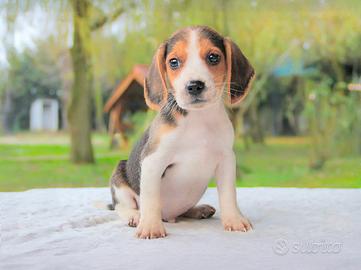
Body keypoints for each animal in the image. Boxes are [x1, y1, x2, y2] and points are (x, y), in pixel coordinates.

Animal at [108, 25, 255, 238]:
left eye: (213, 57)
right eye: (174, 62)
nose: (194, 86)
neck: (198, 119)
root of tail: (169, 216)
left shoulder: (226, 159)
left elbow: (229, 194)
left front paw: (234, 219)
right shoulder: (153, 160)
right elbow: (150, 198)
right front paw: (150, 226)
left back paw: (198, 210)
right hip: (119, 178)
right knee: (121, 207)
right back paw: (135, 216)